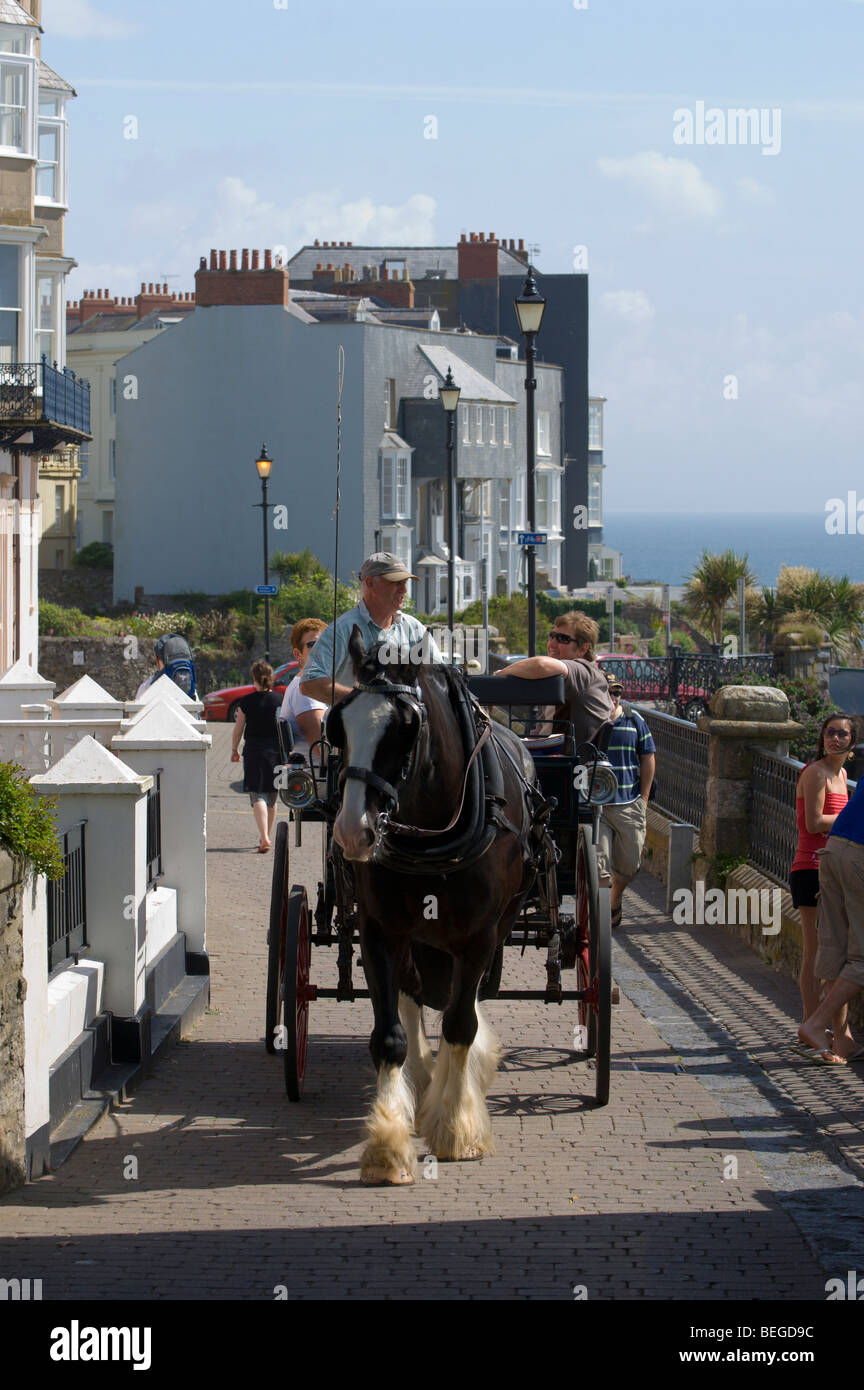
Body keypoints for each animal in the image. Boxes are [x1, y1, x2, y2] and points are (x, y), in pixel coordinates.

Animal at [327, 631, 538, 1184]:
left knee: (464, 1004)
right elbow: (390, 1035)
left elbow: (461, 1024)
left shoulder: (479, 937)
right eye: (338, 723)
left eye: (405, 728)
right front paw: (387, 1143)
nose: (352, 831)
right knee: (411, 994)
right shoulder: (379, 930)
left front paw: (457, 1128)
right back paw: (420, 1085)